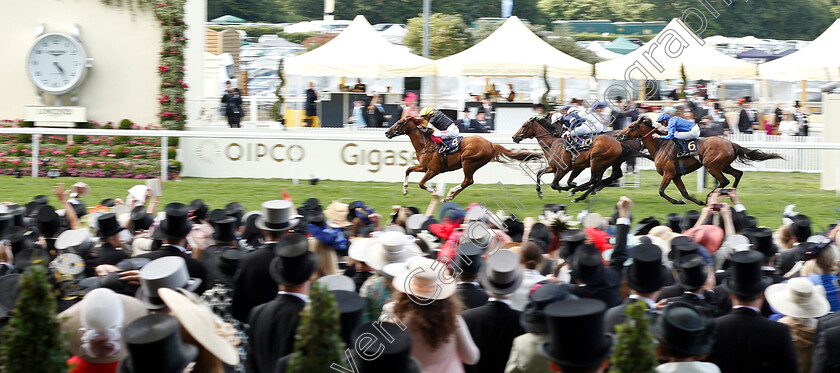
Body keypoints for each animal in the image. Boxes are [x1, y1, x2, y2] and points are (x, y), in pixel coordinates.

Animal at [386, 115, 540, 201]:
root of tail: (490, 144)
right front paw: (405, 190)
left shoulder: (433, 170)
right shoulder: (424, 167)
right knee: (468, 182)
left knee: (468, 180)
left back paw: (449, 194)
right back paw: (449, 197)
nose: (387, 132)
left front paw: (435, 191)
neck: (426, 145)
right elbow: (408, 170)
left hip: (468, 161)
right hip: (472, 164)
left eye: (399, 123)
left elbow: (421, 184)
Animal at [512, 117, 648, 202]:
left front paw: (570, 188)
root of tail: (619, 142)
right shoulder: (556, 167)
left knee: (596, 179)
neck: (552, 144)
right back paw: (586, 191)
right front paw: (540, 192)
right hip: (605, 163)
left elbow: (554, 185)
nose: (514, 137)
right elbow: (539, 174)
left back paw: (578, 193)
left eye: (524, 125)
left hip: (597, 161)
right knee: (607, 177)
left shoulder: (563, 169)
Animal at [612, 115, 784, 203]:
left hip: (712, 166)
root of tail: (731, 143)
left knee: (724, 181)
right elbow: (684, 193)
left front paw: (679, 201)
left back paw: (713, 195)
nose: (618, 135)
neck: (660, 145)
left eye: (631, 126)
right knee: (738, 174)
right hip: (723, 165)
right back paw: (729, 193)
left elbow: (661, 191)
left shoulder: (668, 173)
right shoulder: (675, 175)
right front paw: (693, 201)